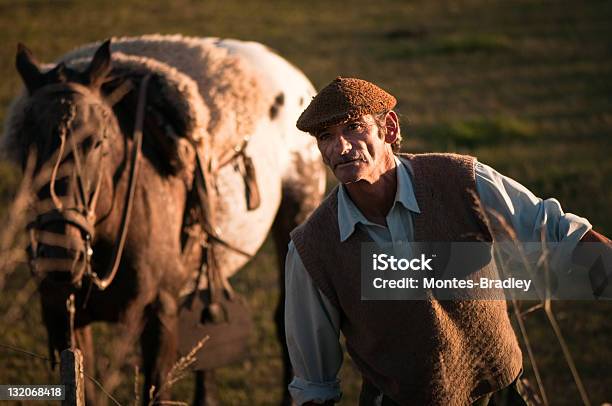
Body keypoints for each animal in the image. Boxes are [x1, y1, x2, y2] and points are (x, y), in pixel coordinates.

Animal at [3, 36, 326, 404]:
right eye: (25, 145)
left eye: (97, 141)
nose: (60, 254)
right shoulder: (63, 320)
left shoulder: (159, 317)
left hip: (296, 216)